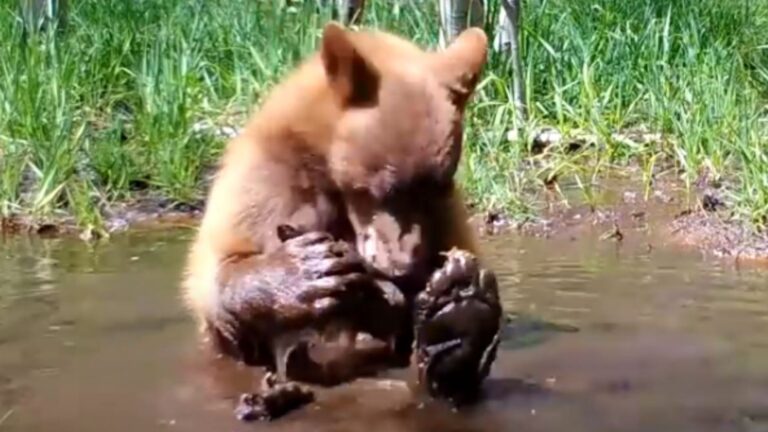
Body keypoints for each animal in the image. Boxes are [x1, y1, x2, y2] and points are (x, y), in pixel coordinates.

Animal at [181, 21, 503, 404]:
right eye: (384, 189)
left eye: (436, 188)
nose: (405, 267)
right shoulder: (269, 179)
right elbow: (219, 269)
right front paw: (306, 268)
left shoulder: (445, 215)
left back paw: (454, 324)